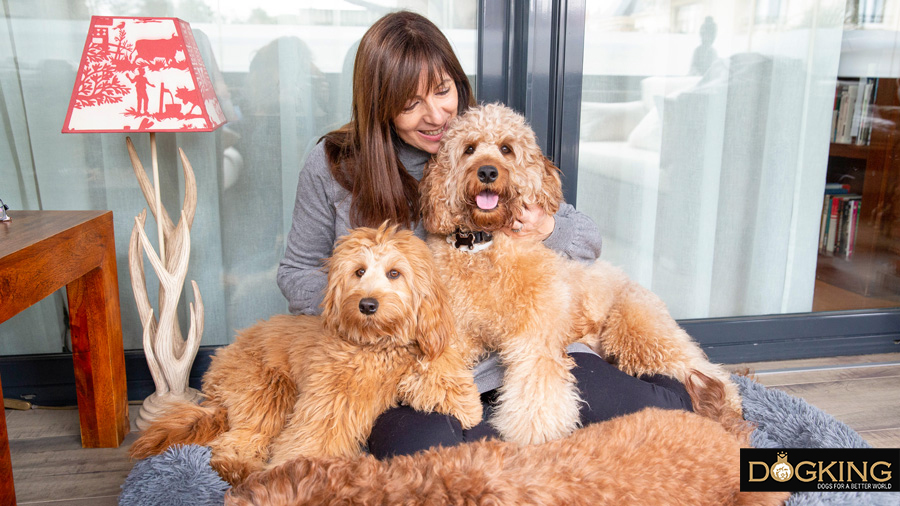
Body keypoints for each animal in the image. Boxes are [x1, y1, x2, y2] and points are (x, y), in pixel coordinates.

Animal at [129, 224, 482, 482]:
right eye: (359, 272)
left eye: (394, 273)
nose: (367, 304)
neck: (377, 345)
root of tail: (216, 365)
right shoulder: (330, 403)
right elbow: (314, 439)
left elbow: (439, 365)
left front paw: (465, 404)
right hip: (267, 390)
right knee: (237, 440)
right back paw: (240, 469)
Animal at [418, 104, 740, 446]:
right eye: (469, 149)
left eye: (507, 149)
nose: (488, 172)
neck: (484, 246)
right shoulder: (451, 327)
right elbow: (439, 361)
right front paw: (449, 399)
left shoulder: (535, 334)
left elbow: (536, 383)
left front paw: (535, 430)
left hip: (637, 332)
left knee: (699, 369)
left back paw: (725, 402)